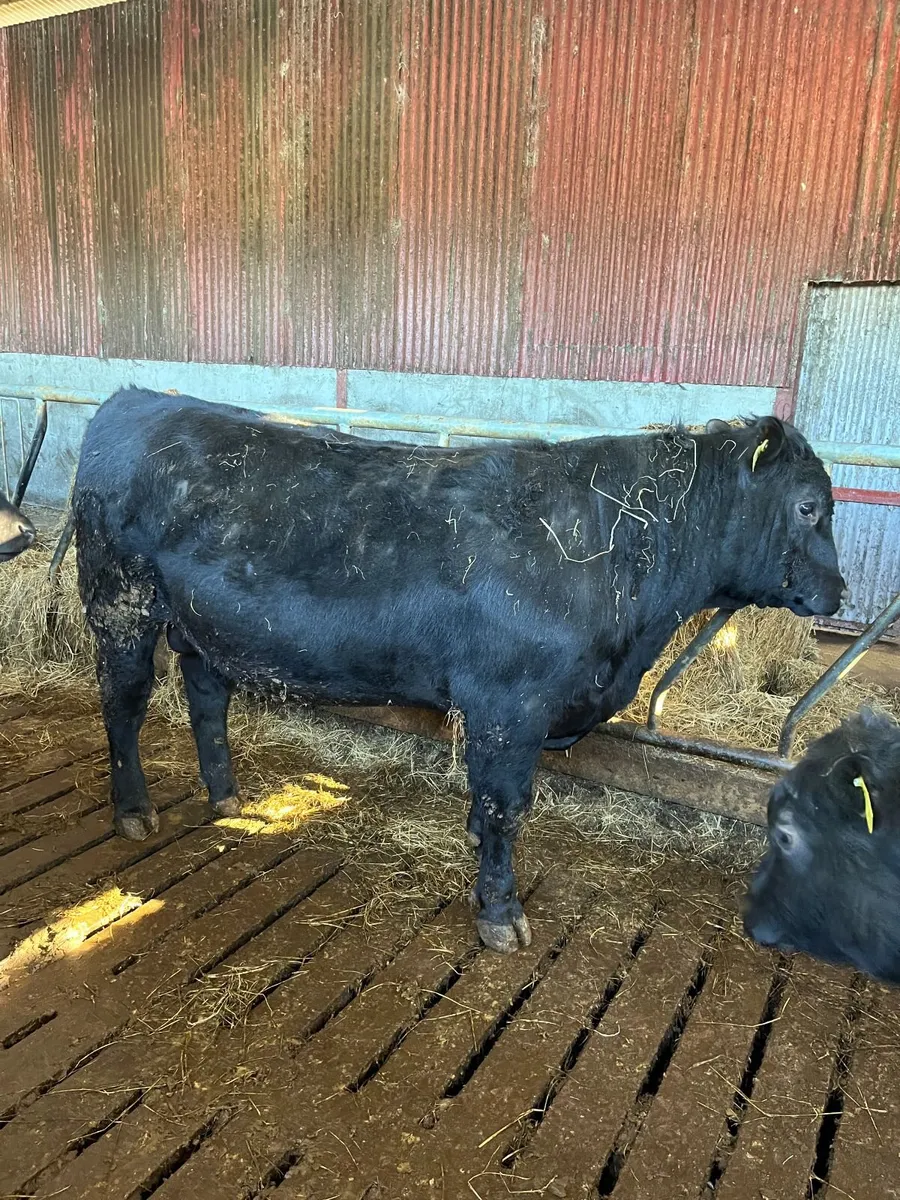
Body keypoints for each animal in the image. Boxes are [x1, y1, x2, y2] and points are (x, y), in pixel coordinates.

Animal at [73, 388, 845, 952]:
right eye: (809, 506)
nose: (840, 593)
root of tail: (133, 398)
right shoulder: (510, 703)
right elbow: (508, 806)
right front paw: (500, 911)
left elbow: (489, 804)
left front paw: (477, 851)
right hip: (120, 603)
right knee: (123, 702)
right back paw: (134, 810)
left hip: (204, 627)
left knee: (206, 697)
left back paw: (229, 799)